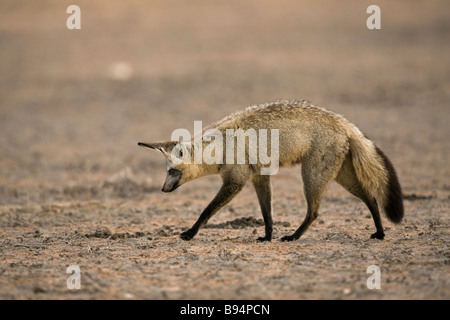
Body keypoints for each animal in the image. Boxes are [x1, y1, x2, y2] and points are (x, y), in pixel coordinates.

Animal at [138, 100, 404, 242]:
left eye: (171, 172)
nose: (162, 190)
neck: (221, 145)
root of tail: (342, 121)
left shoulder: (235, 182)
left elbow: (207, 210)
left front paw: (191, 232)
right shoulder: (259, 177)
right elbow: (267, 213)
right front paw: (267, 236)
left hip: (312, 177)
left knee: (314, 212)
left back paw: (295, 236)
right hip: (340, 177)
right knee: (371, 198)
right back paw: (380, 232)